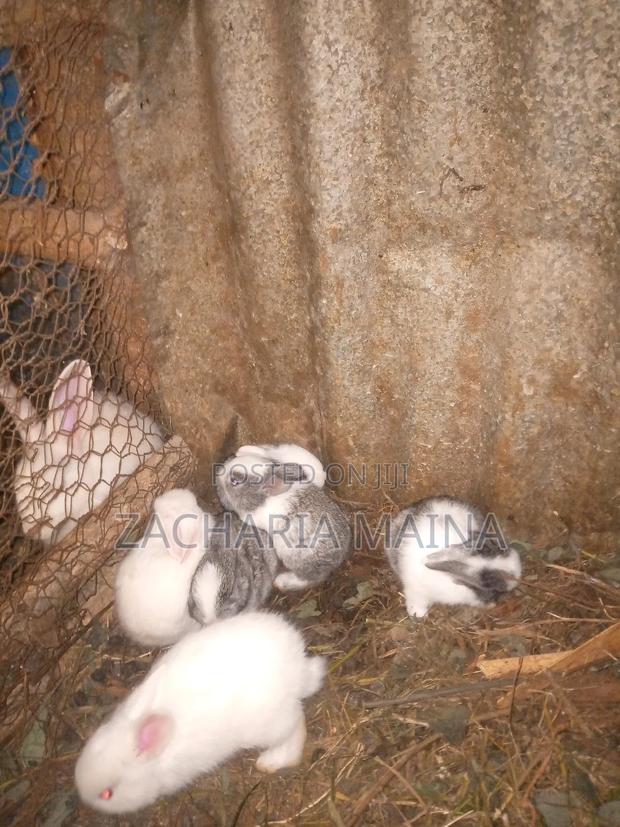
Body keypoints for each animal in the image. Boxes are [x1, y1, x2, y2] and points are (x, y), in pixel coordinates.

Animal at [74, 611, 327, 814]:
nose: (84, 800)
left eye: (107, 794)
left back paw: (272, 760)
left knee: (296, 725)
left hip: (270, 724)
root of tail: (298, 668)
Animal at [216, 450, 350, 591]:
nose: (220, 470)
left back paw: (282, 581)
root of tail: (336, 560)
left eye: (234, 481)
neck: (261, 500)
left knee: (309, 579)